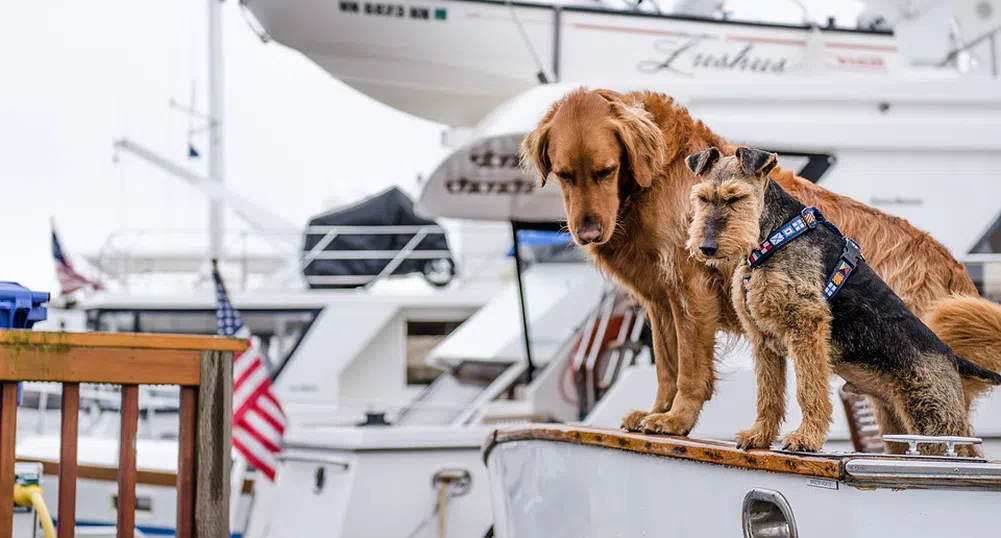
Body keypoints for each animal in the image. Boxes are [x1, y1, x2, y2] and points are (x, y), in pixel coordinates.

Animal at [684, 146, 1001, 448]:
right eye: (702, 198)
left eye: (736, 198)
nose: (706, 247)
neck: (775, 236)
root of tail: (953, 358)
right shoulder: (763, 340)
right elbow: (768, 395)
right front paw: (759, 436)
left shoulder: (807, 325)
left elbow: (809, 390)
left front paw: (806, 438)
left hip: (933, 426)